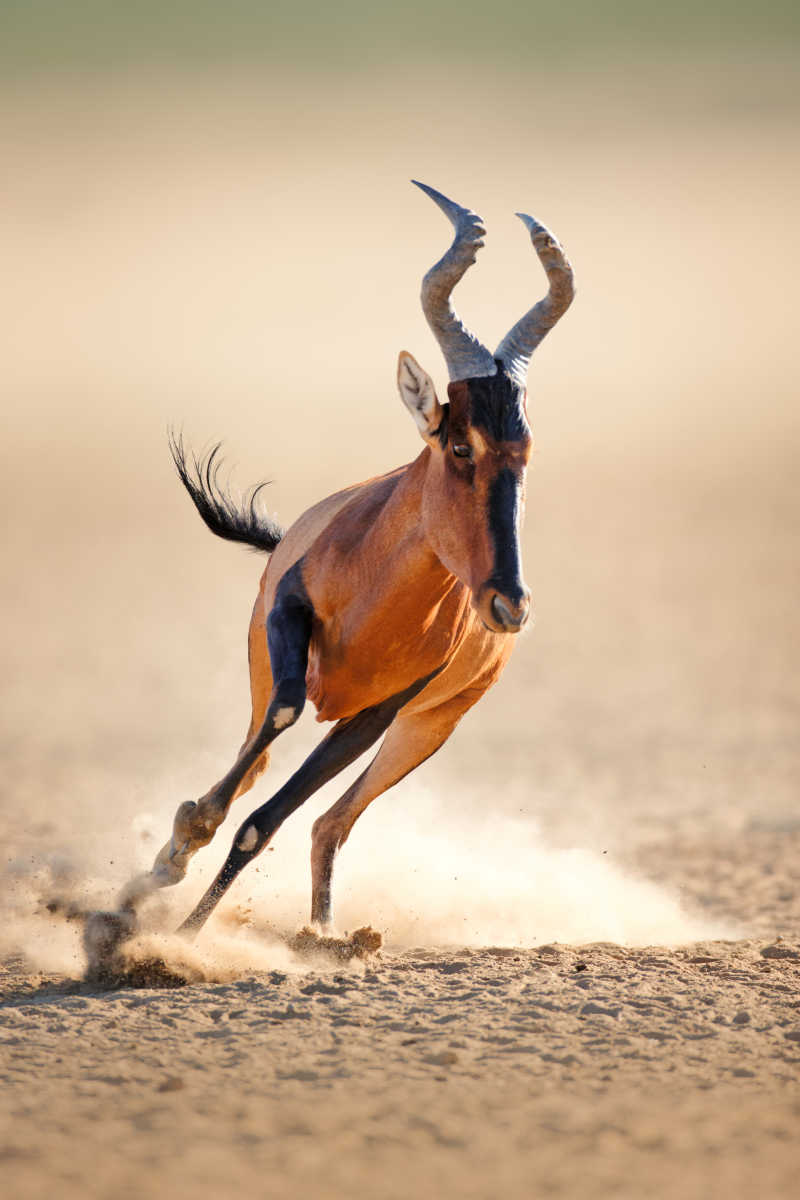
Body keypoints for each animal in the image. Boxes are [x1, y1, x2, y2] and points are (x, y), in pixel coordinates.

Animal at [118, 182, 573, 940]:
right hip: (269, 671)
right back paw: (172, 868)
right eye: (459, 444)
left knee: (329, 823)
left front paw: (176, 940)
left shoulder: (379, 714)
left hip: (423, 732)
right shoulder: (289, 620)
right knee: (263, 758)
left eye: (526, 451)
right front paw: (170, 879)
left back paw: (324, 937)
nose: (509, 604)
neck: (380, 592)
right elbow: (274, 732)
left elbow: (265, 825)